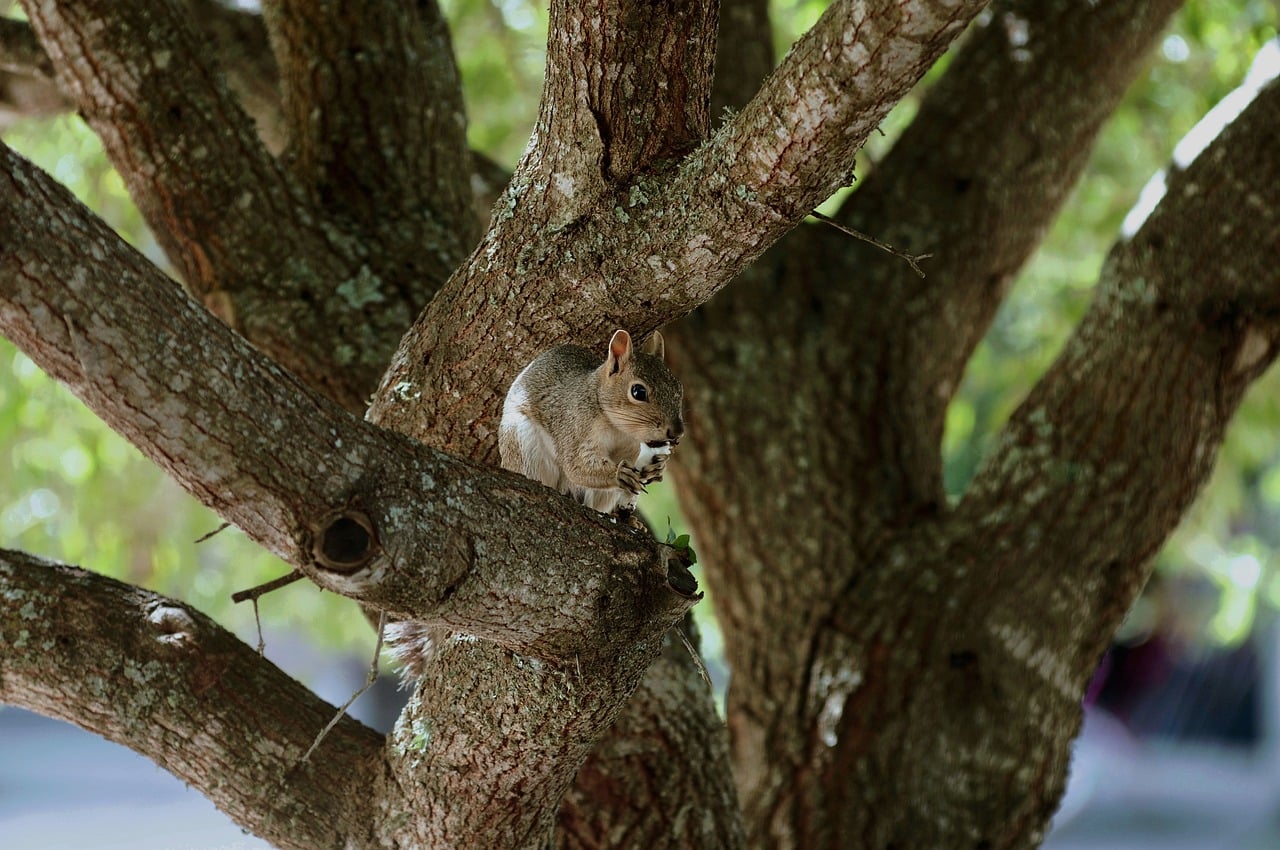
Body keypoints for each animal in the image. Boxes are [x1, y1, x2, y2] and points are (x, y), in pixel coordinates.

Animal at [499, 329, 684, 515]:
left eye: (679, 389)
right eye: (638, 392)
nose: (677, 433)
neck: (617, 429)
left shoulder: (630, 449)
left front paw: (655, 467)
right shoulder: (575, 427)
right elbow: (575, 464)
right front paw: (618, 474)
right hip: (522, 443)